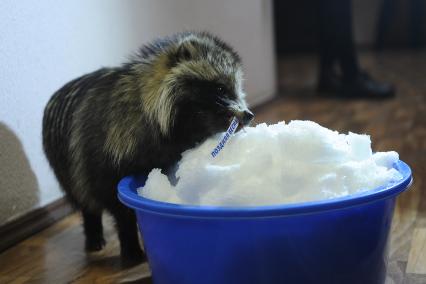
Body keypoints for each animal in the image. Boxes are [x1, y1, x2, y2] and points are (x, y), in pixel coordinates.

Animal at [43, 31, 255, 264]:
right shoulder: (103, 157)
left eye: (237, 90)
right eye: (220, 88)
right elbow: (118, 206)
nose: (248, 114)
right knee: (84, 199)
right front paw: (129, 242)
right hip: (65, 168)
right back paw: (93, 230)